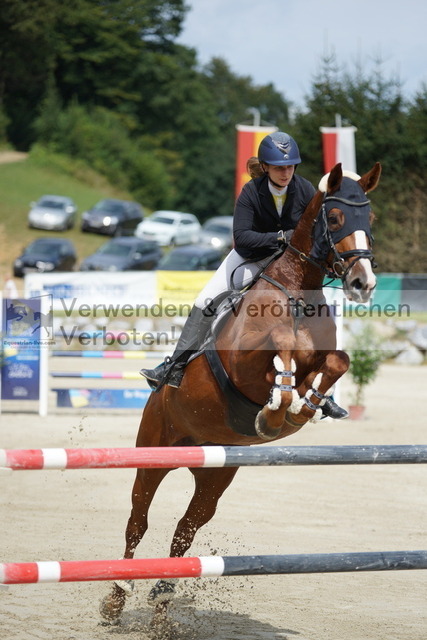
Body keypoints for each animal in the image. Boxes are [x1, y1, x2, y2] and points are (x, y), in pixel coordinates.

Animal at [100, 162, 382, 624]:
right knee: (137, 521)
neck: (297, 290)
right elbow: (280, 343)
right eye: (337, 217)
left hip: (215, 476)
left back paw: (161, 598)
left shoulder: (323, 359)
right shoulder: (244, 362)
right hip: (154, 453)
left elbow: (337, 362)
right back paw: (116, 597)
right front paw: (275, 409)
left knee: (185, 529)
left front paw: (303, 407)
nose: (363, 283)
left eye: (370, 218)